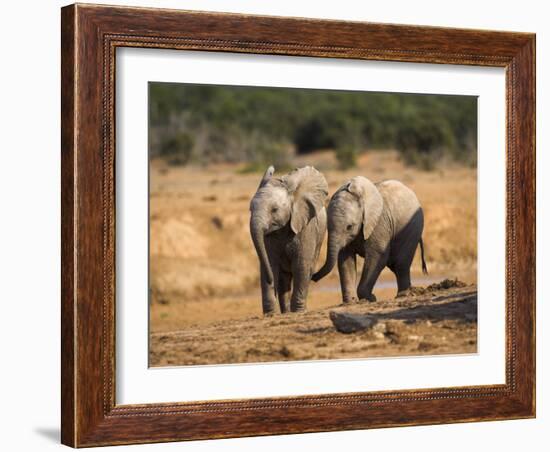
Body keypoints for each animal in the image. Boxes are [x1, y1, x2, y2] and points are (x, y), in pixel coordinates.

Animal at [250, 165, 328, 314]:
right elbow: (269, 263)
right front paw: (270, 314)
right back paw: (285, 312)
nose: (271, 281)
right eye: (250, 209)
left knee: (306, 271)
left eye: (274, 210)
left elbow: (301, 265)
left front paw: (298, 311)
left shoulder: (306, 228)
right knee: (284, 279)